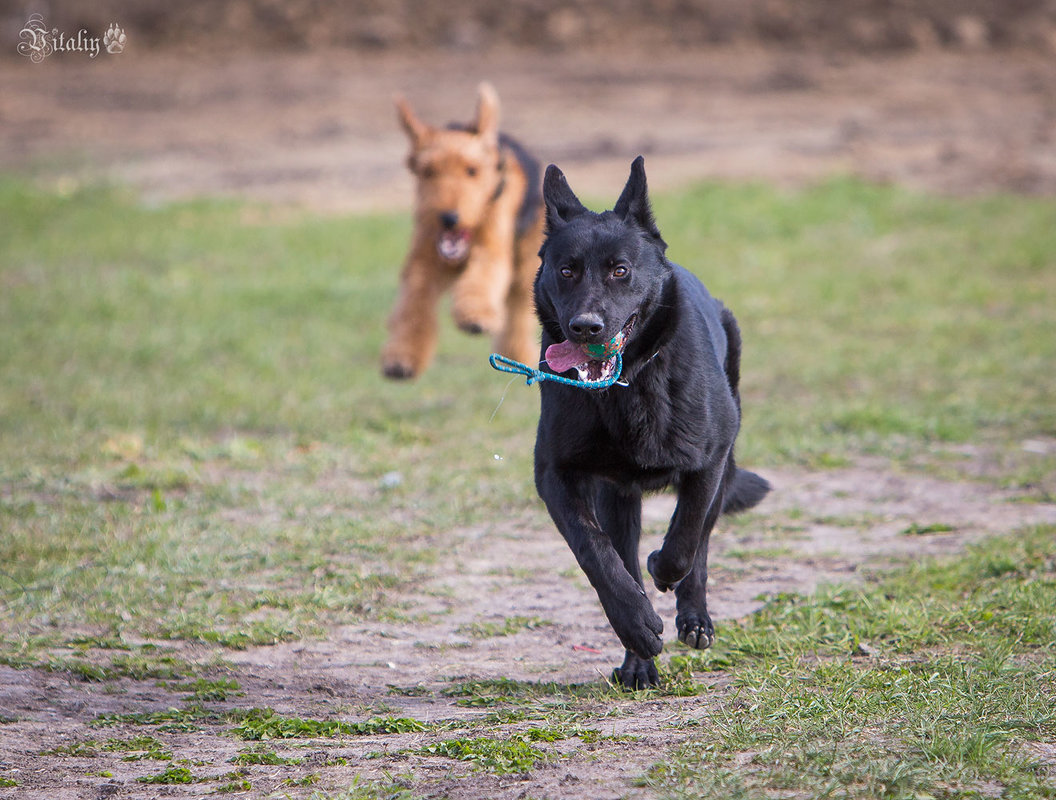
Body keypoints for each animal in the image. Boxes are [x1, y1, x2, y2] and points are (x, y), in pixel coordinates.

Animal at [382, 82, 544, 379]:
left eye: (472, 170)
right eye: (428, 171)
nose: (449, 218)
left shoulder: (491, 249)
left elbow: (482, 279)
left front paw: (475, 318)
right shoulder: (422, 262)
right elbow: (413, 304)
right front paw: (401, 358)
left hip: (525, 261)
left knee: (516, 311)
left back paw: (517, 354)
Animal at [536, 156, 768, 688]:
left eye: (620, 271)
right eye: (566, 271)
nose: (585, 327)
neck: (626, 387)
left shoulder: (710, 459)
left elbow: (686, 537)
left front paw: (664, 569)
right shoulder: (556, 475)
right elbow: (598, 555)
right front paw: (637, 626)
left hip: (723, 460)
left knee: (701, 539)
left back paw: (694, 616)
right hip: (619, 498)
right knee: (622, 553)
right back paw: (637, 659)